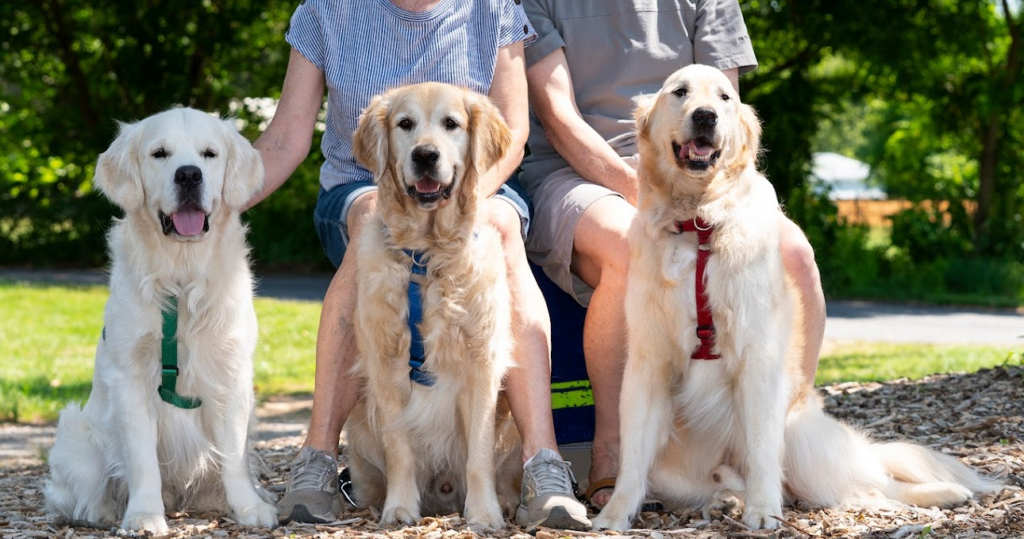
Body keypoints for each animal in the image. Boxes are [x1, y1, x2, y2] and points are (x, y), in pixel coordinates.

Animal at [45, 107, 276, 532]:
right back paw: (101, 511)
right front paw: (144, 515)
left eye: (209, 154)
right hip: (75, 432)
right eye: (159, 154)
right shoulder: (130, 379)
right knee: (76, 493)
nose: (188, 175)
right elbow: (142, 461)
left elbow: (234, 455)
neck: (180, 280)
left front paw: (250, 507)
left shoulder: (231, 373)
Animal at [348, 84, 524, 532]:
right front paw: (399, 508)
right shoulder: (385, 366)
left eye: (451, 123)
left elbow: (478, 453)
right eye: (404, 124)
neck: (426, 258)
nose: (425, 155)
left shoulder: (482, 365)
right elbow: (400, 449)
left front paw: (484, 513)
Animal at [589, 66, 995, 532]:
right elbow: (633, 454)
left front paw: (764, 511)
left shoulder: (758, 356)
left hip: (802, 438)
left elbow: (763, 447)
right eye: (680, 93)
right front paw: (614, 514)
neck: (699, 224)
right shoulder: (648, 361)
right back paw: (725, 500)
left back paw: (946, 492)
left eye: (725, 97)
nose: (705, 116)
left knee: (876, 486)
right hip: (680, 471)